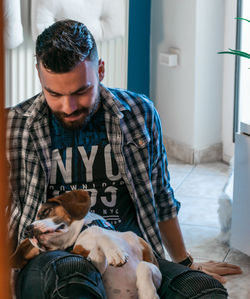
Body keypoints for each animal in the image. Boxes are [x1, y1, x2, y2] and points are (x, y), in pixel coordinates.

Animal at [10, 191, 162, 298]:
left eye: (45, 211)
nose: (27, 230)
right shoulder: (96, 266)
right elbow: (99, 235)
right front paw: (114, 252)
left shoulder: (156, 268)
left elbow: (144, 266)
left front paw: (148, 294)